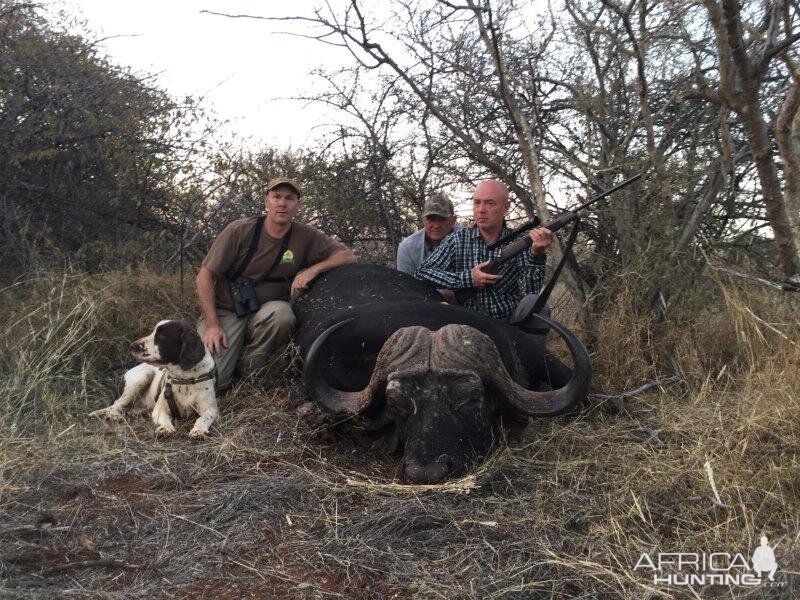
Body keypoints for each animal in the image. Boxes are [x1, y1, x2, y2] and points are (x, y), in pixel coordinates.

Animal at [90, 322, 219, 438]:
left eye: (162, 336)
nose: (132, 345)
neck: (184, 378)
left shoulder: (210, 409)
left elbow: (202, 419)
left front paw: (199, 430)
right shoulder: (160, 409)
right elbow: (164, 418)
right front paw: (166, 428)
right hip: (143, 377)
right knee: (117, 403)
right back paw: (114, 415)